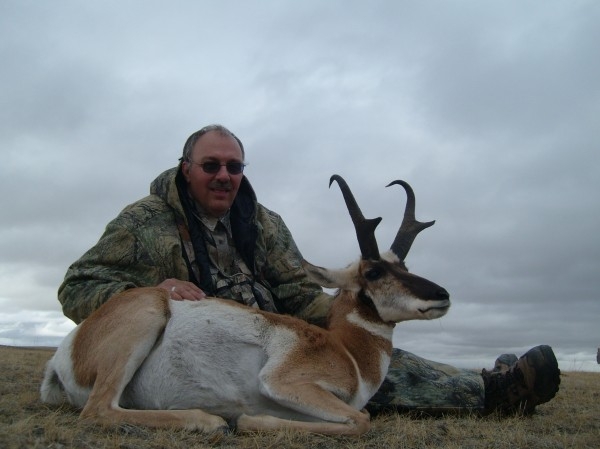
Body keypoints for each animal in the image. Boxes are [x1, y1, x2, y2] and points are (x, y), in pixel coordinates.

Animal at [41, 174, 450, 434]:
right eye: (374, 272)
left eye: (405, 267)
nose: (442, 294)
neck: (347, 351)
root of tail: (64, 354)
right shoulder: (284, 382)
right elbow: (362, 420)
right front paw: (251, 421)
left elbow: (359, 416)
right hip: (145, 319)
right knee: (98, 410)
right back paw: (210, 421)